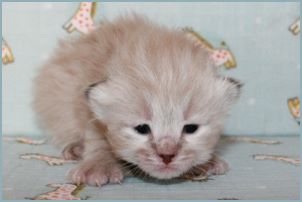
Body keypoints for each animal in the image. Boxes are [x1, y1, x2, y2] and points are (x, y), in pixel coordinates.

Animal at [32, 14, 241, 186]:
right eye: (142, 128)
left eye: (190, 128)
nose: (167, 155)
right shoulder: (86, 103)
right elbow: (97, 138)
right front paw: (99, 165)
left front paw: (208, 161)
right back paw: (75, 148)